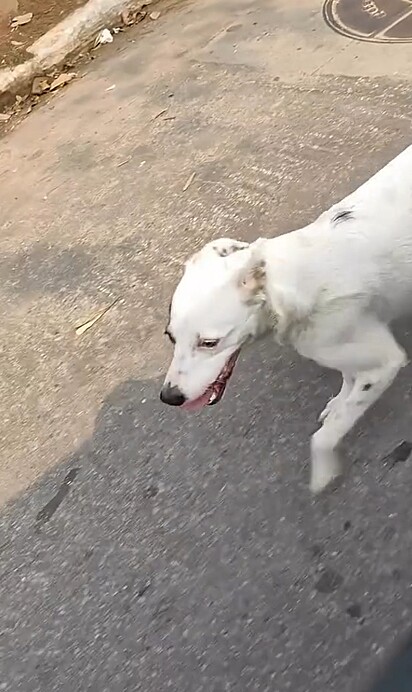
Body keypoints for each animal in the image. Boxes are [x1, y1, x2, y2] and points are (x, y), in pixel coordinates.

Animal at [160, 146, 412, 492]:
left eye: (209, 343)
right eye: (170, 337)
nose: (169, 397)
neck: (295, 286)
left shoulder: (384, 363)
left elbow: (323, 438)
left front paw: (323, 474)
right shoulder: (345, 351)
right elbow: (346, 383)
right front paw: (338, 402)